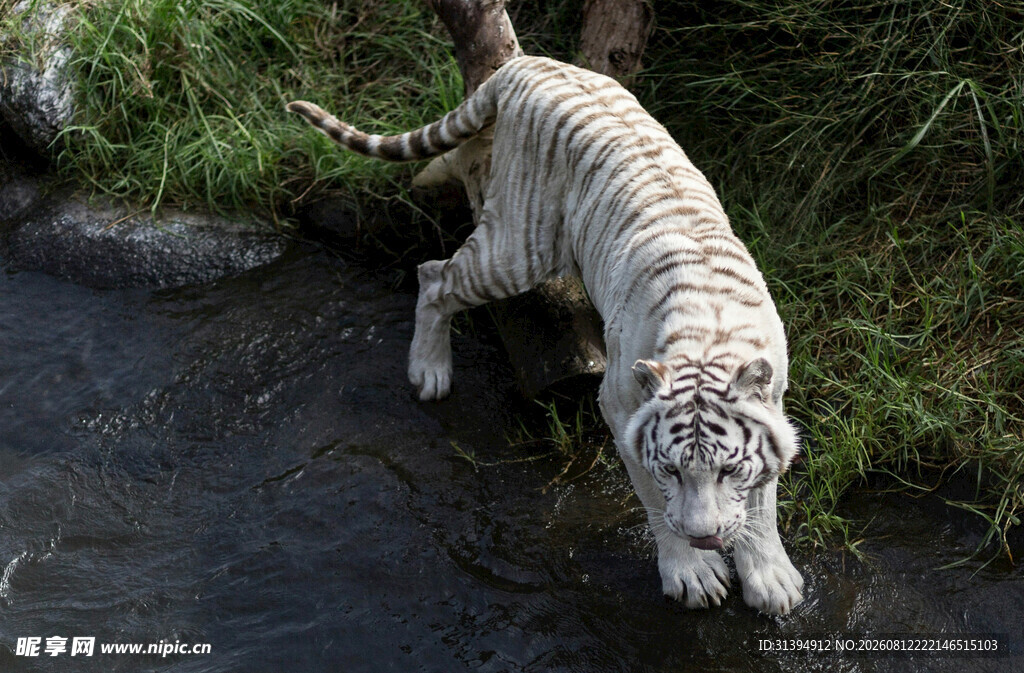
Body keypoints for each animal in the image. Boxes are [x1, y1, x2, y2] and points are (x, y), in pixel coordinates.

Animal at [288, 55, 804, 615]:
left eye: (728, 472)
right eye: (671, 470)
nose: (705, 537)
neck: (708, 334)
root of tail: (527, 62)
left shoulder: (773, 402)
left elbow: (762, 503)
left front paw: (769, 577)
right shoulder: (619, 406)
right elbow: (653, 501)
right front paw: (690, 571)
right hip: (517, 248)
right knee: (433, 276)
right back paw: (429, 370)